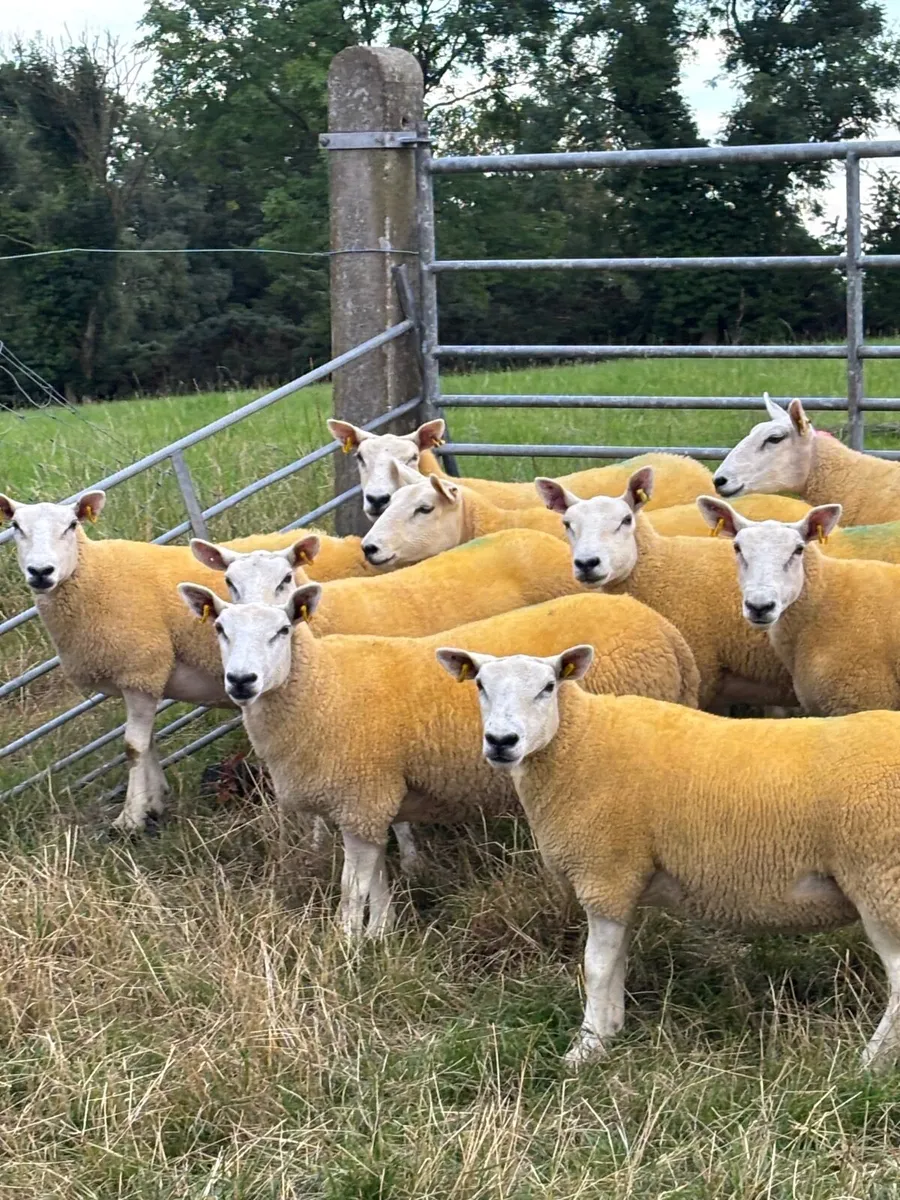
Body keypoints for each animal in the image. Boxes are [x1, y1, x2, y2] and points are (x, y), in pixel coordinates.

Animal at [0, 489, 318, 835]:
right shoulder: (141, 680)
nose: (40, 572)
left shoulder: (140, 670)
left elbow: (133, 747)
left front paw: (130, 818)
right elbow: (148, 741)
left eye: (72, 525)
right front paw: (153, 802)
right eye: (16, 526)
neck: (95, 575)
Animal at [176, 583, 700, 937]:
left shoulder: (360, 796)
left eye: (283, 630)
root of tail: (665, 630)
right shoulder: (371, 803)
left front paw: (345, 945)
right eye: (220, 629)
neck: (320, 686)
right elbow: (377, 879)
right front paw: (381, 934)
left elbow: (351, 888)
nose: (241, 680)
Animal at [438, 644, 900, 1069]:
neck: (578, 744)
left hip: (881, 879)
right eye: (480, 685)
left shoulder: (603, 872)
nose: (501, 742)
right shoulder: (623, 879)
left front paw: (583, 1050)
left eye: (548, 687)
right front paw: (611, 1031)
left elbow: (595, 967)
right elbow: (616, 961)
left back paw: (869, 1064)